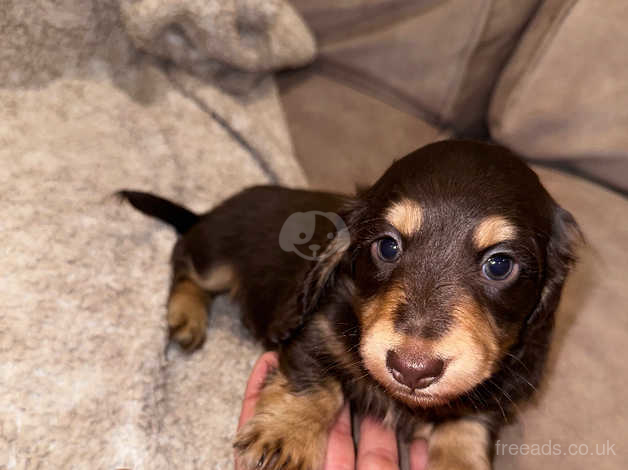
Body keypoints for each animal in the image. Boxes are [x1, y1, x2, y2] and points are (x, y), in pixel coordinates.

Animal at [116, 140, 580, 470]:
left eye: (500, 265)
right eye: (387, 246)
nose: (412, 370)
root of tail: (208, 213)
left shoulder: (484, 397)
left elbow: (467, 430)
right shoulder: (315, 329)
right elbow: (317, 384)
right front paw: (285, 438)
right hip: (216, 257)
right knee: (184, 264)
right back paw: (186, 317)